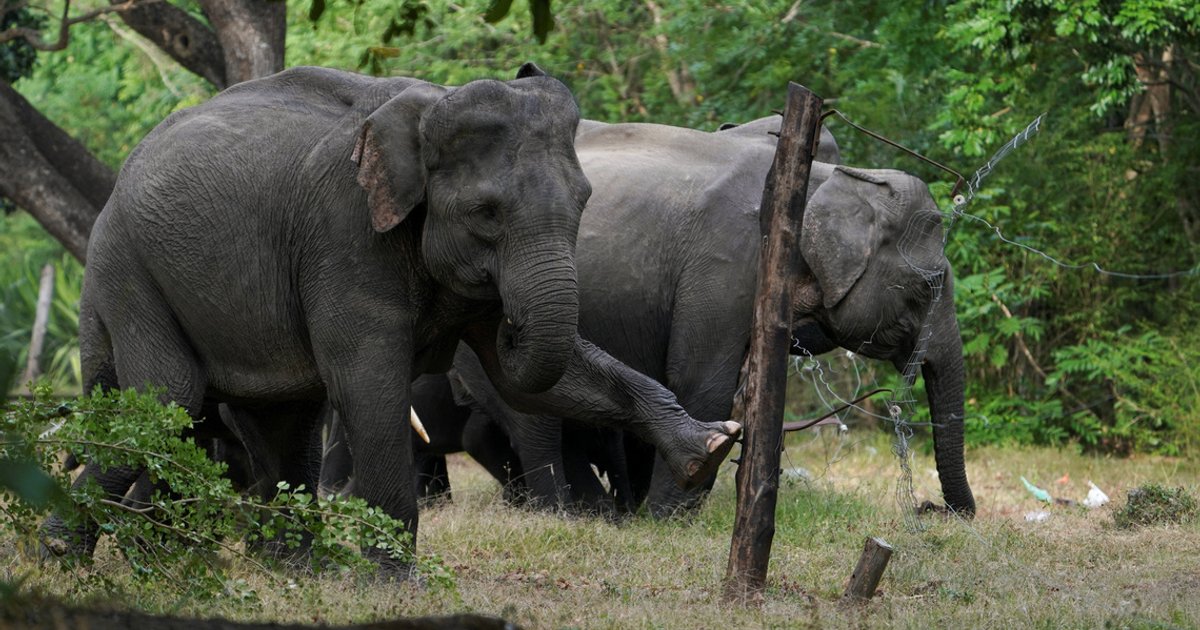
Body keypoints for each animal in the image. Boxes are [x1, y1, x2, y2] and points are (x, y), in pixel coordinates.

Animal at [41, 64, 743, 566]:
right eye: (485, 213)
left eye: (585, 200)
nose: (513, 325)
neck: (429, 105)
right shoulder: (343, 232)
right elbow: (369, 381)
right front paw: (394, 582)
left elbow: (551, 378)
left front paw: (711, 445)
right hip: (127, 270)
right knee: (170, 400)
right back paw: (57, 557)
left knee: (280, 420)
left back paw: (292, 568)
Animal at [436, 114, 974, 518]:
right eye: (929, 285)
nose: (934, 509)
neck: (826, 179)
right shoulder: (725, 264)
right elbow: (702, 380)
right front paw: (668, 519)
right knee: (535, 419)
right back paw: (568, 514)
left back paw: (601, 515)